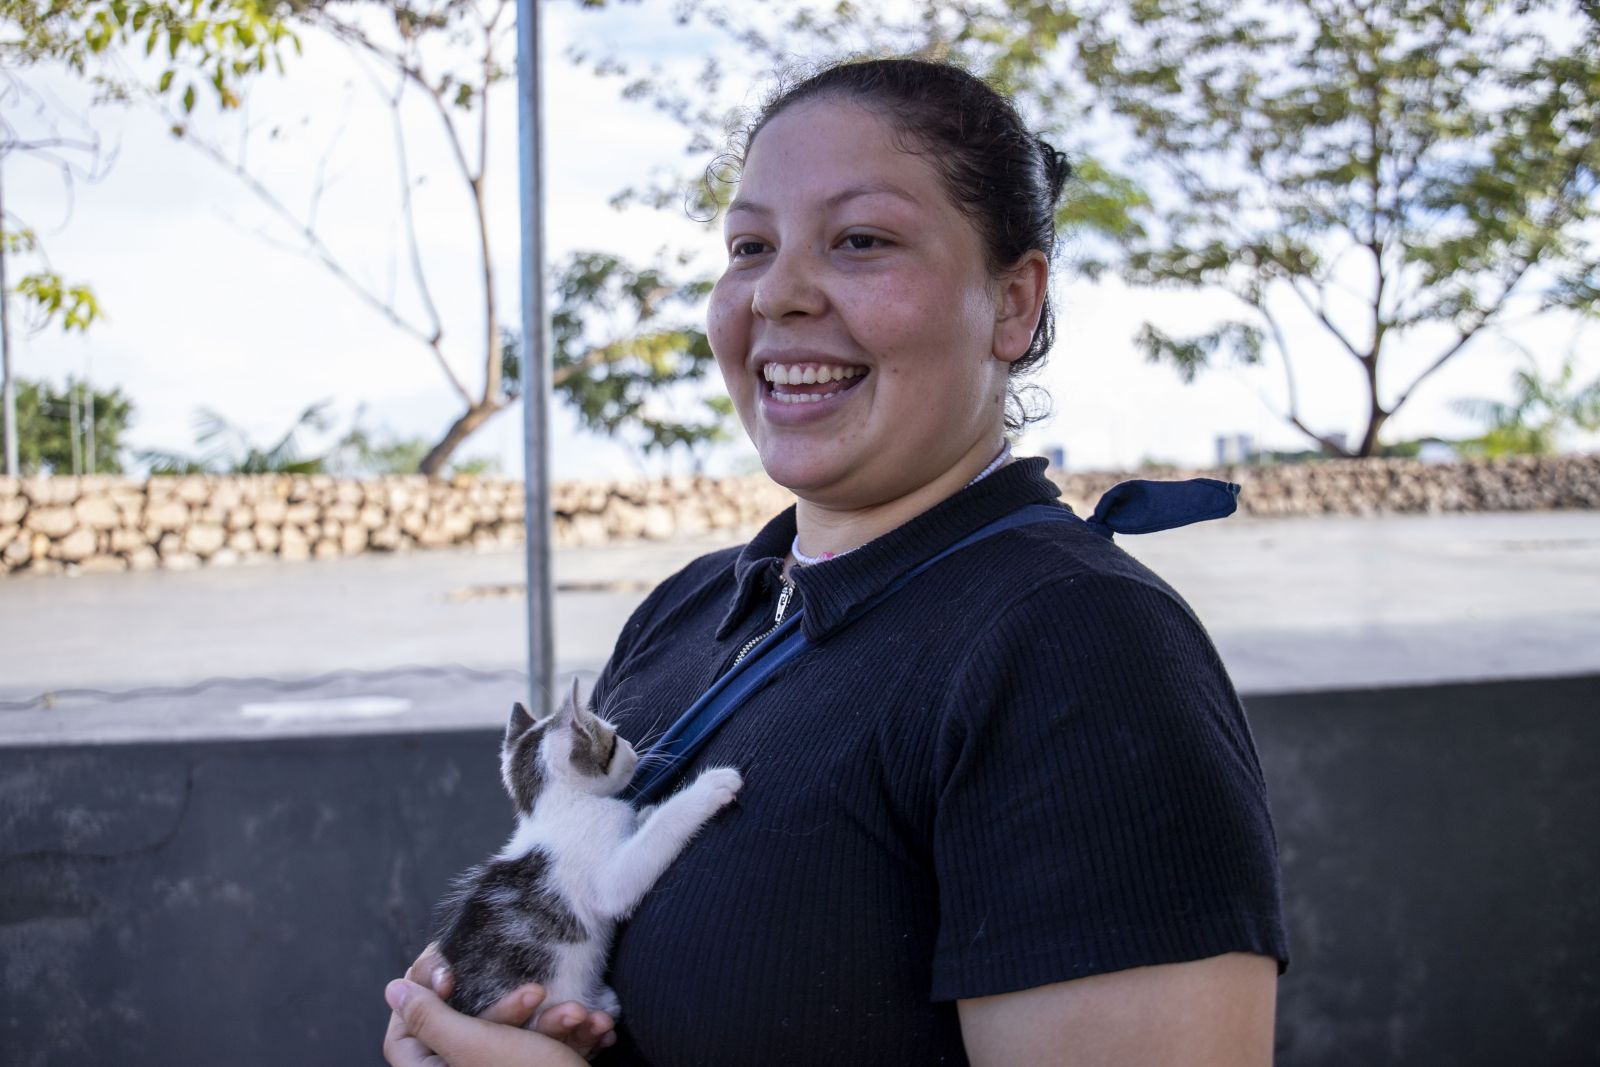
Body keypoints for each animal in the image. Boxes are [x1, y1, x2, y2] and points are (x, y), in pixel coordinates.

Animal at [432, 684, 742, 1023]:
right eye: (614, 740)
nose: (632, 747)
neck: (558, 808)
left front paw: (643, 816)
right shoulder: (603, 873)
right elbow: (641, 855)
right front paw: (708, 788)